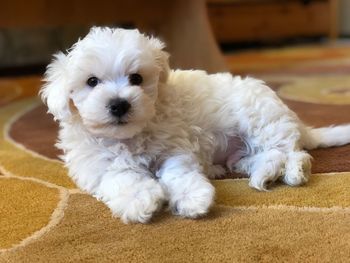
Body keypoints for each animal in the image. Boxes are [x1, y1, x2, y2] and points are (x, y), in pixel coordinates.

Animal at [40, 26, 350, 224]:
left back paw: (295, 173)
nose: (119, 104)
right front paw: (141, 200)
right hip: (244, 152)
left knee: (292, 153)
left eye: (136, 78)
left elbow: (179, 172)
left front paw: (193, 198)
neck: (129, 137)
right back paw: (260, 174)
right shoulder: (98, 168)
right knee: (266, 157)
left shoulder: (174, 147)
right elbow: (123, 178)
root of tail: (292, 118)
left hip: (261, 121)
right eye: (91, 81)